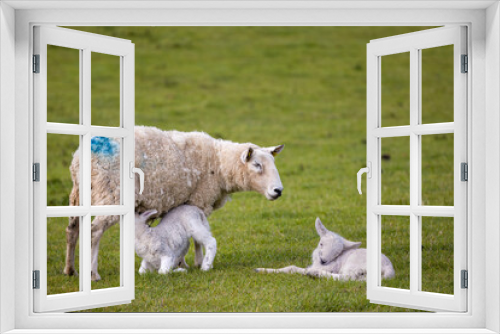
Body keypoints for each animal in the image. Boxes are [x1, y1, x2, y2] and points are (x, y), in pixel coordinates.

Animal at [65, 126, 286, 280]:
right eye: (257, 165)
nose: (278, 191)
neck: (219, 164)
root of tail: (78, 159)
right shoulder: (199, 200)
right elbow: (197, 239)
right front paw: (196, 262)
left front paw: (183, 263)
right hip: (111, 194)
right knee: (94, 231)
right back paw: (93, 274)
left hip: (78, 195)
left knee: (72, 229)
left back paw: (70, 270)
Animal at [256, 218, 396, 280]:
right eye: (321, 243)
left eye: (337, 253)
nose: (323, 260)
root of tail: (389, 269)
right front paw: (262, 270)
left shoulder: (331, 266)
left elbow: (293, 268)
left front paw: (261, 270)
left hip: (353, 265)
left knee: (346, 278)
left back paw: (314, 274)